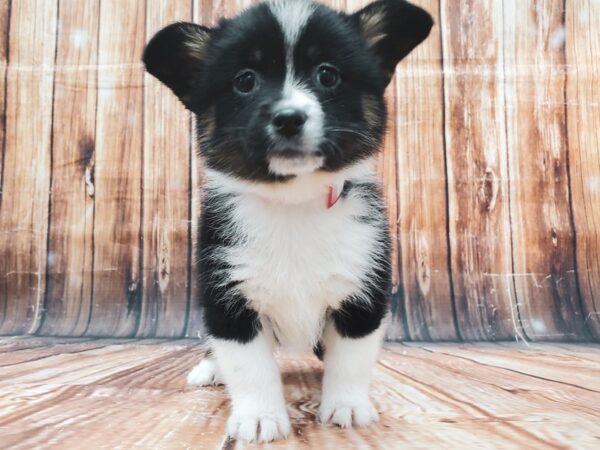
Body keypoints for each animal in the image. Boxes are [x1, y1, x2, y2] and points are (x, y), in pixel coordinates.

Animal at [142, 0, 432, 442]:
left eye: (327, 74)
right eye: (245, 80)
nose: (289, 117)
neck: (294, 204)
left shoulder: (363, 291)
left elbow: (352, 359)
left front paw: (347, 405)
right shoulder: (228, 298)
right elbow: (249, 367)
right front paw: (259, 417)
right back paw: (209, 368)